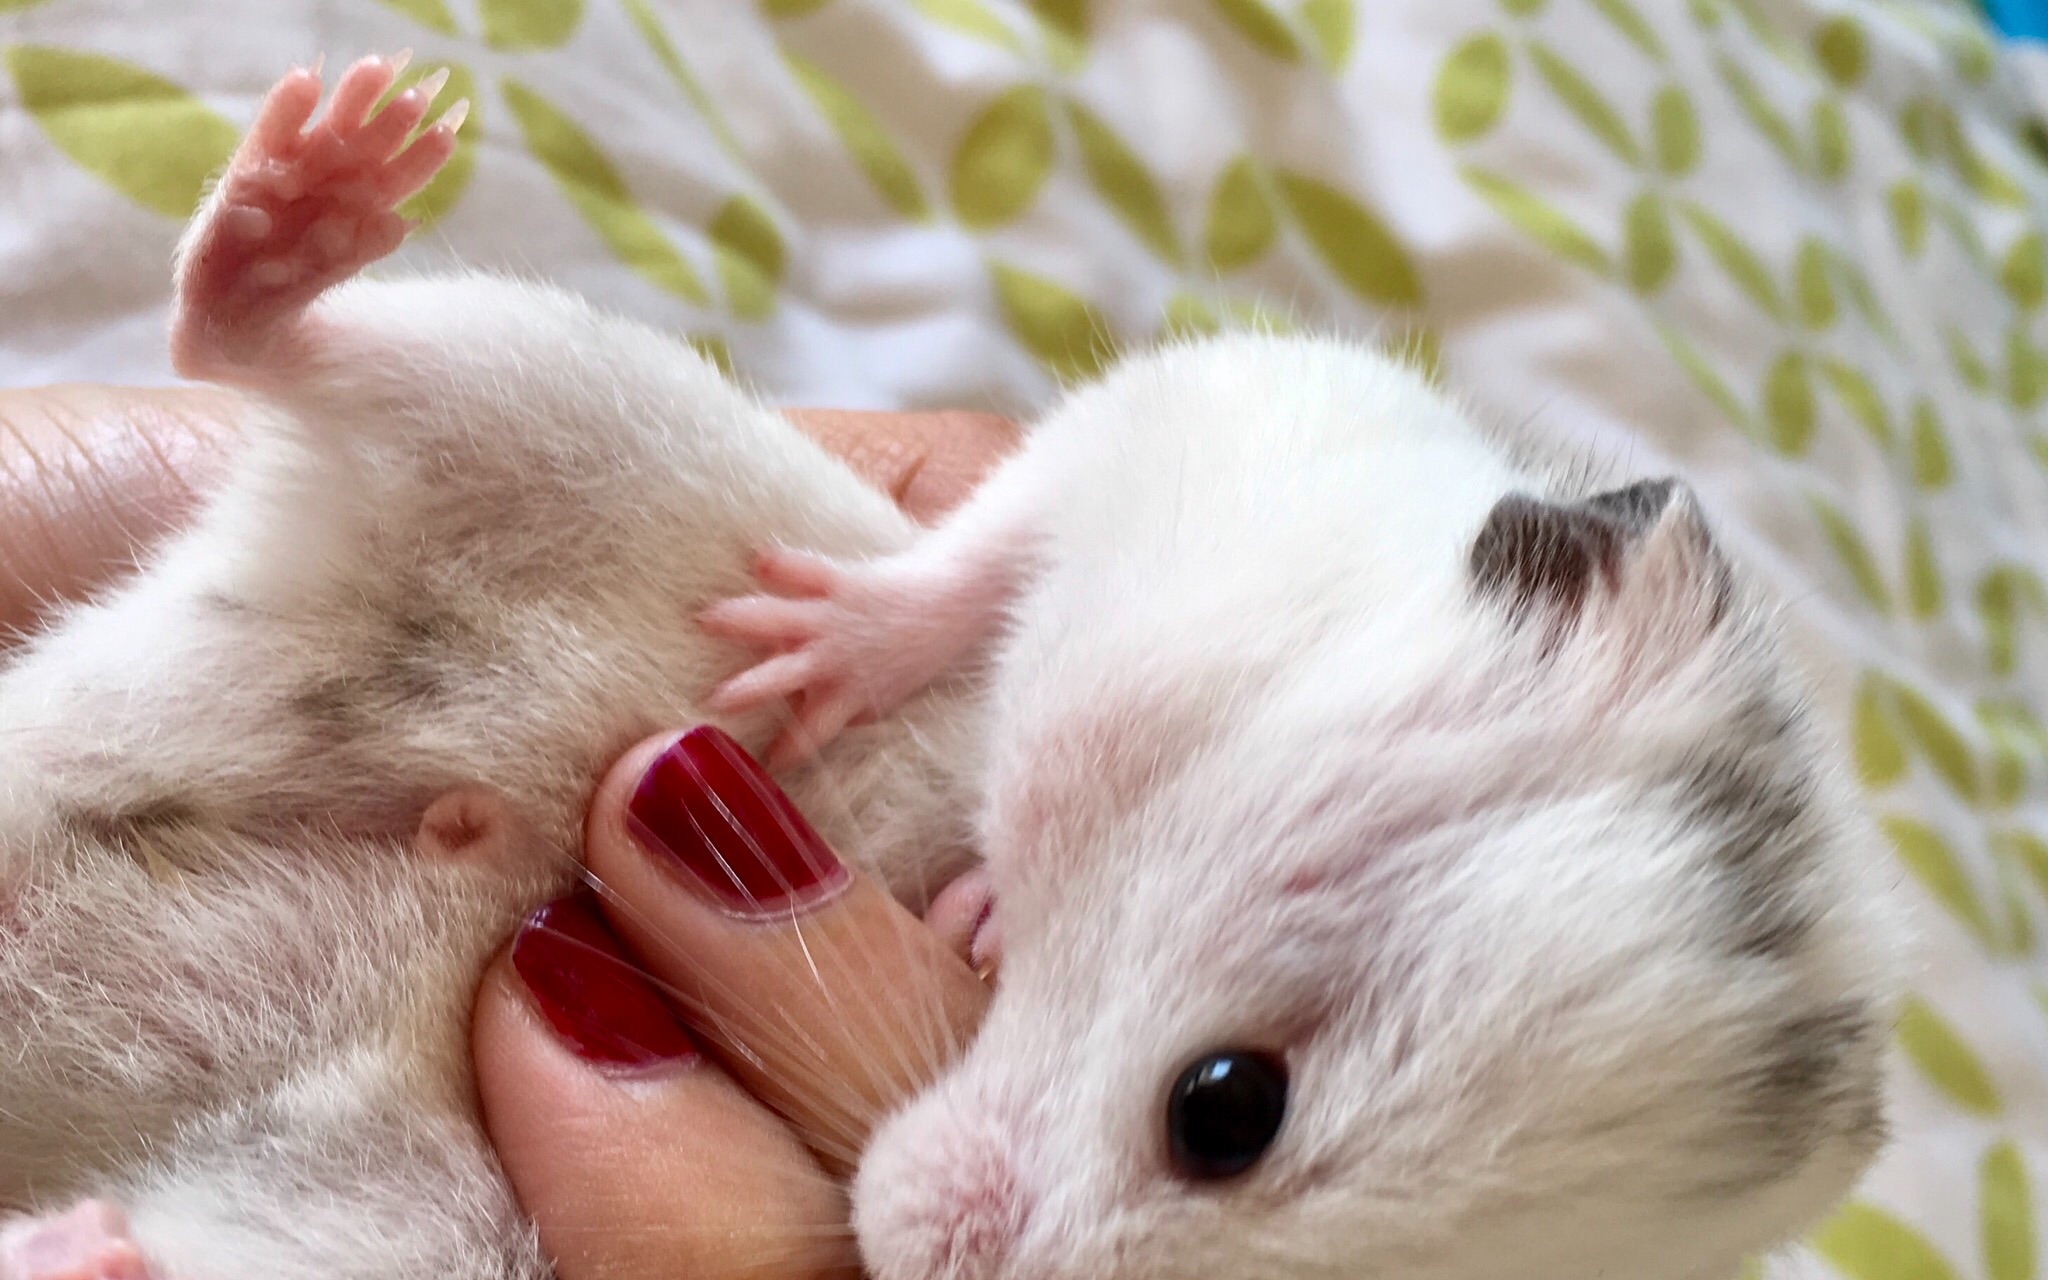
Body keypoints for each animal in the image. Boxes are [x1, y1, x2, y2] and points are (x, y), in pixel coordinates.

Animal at [0, 54, 1900, 1277]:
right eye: (1227, 1107)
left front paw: (971, 912)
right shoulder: (1204, 419)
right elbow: (987, 553)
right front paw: (815, 661)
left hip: (369, 1223)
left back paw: (86, 1243)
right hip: (524, 388)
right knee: (277, 348)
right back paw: (329, 175)